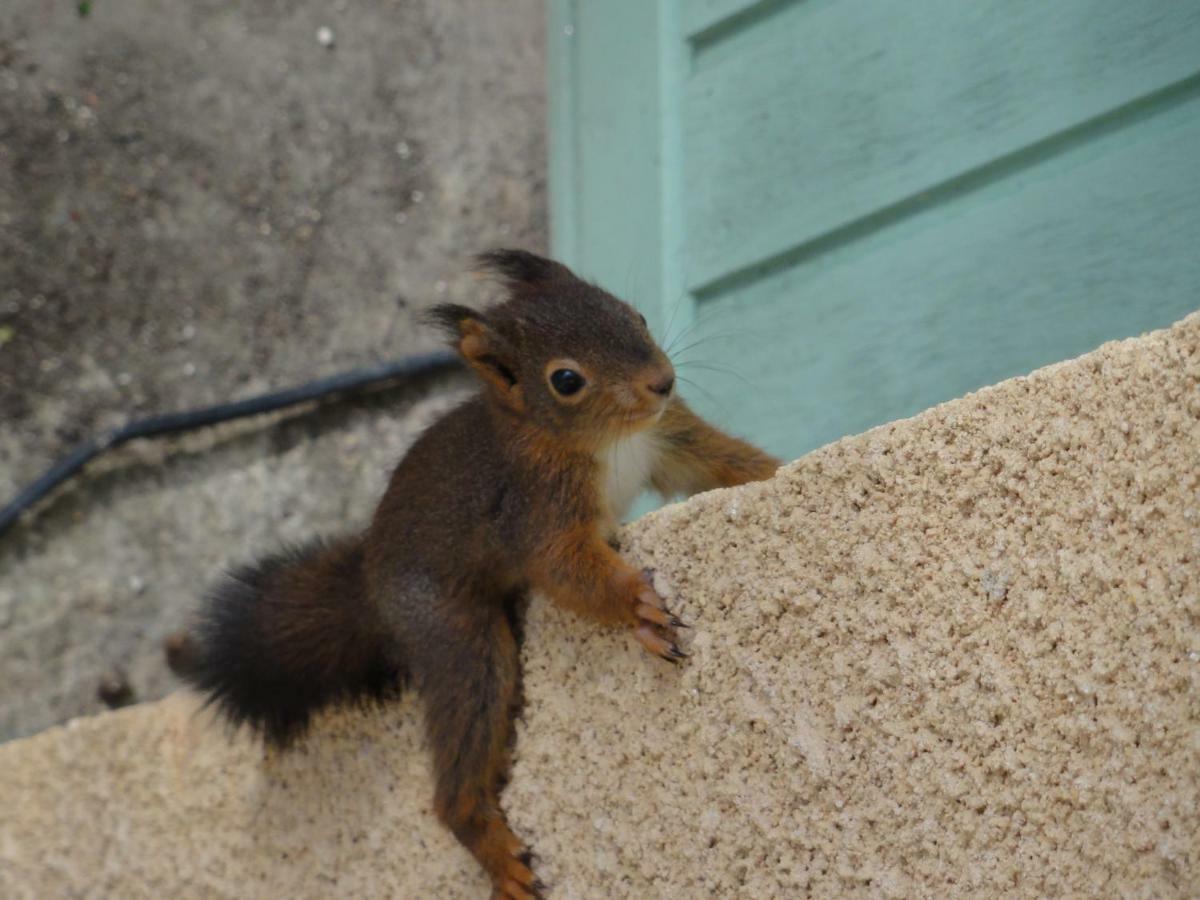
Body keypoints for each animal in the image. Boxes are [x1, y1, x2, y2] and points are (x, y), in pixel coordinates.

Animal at [169, 250, 782, 897]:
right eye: (566, 380)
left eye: (633, 314)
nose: (661, 382)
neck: (606, 439)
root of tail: (371, 591)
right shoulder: (534, 508)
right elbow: (566, 569)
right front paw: (638, 603)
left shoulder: (669, 438)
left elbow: (724, 461)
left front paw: (773, 470)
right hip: (457, 632)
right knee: (461, 750)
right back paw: (490, 846)